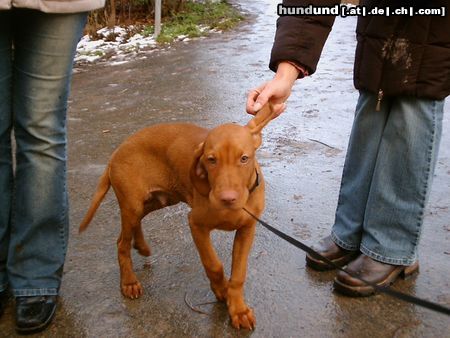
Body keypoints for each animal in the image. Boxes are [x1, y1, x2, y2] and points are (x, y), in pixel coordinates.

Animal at [79, 103, 274, 330]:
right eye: (211, 160)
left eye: (244, 159)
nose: (227, 199)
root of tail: (117, 152)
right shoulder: (196, 224)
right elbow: (214, 264)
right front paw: (221, 291)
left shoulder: (247, 228)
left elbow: (239, 273)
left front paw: (239, 309)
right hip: (132, 204)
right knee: (121, 243)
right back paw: (129, 282)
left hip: (159, 200)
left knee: (133, 226)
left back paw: (141, 246)